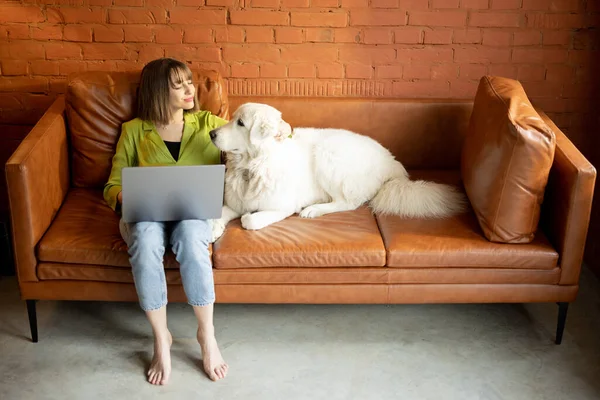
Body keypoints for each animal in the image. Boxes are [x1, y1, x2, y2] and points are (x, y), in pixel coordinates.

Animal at [209, 103, 466, 241]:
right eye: (233, 119)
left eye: (240, 123)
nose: (211, 134)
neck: (253, 165)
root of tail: (391, 161)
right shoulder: (234, 203)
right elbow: (220, 214)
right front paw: (212, 229)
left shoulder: (281, 207)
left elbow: (250, 220)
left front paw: (247, 219)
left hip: (327, 155)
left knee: (347, 202)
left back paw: (313, 209)